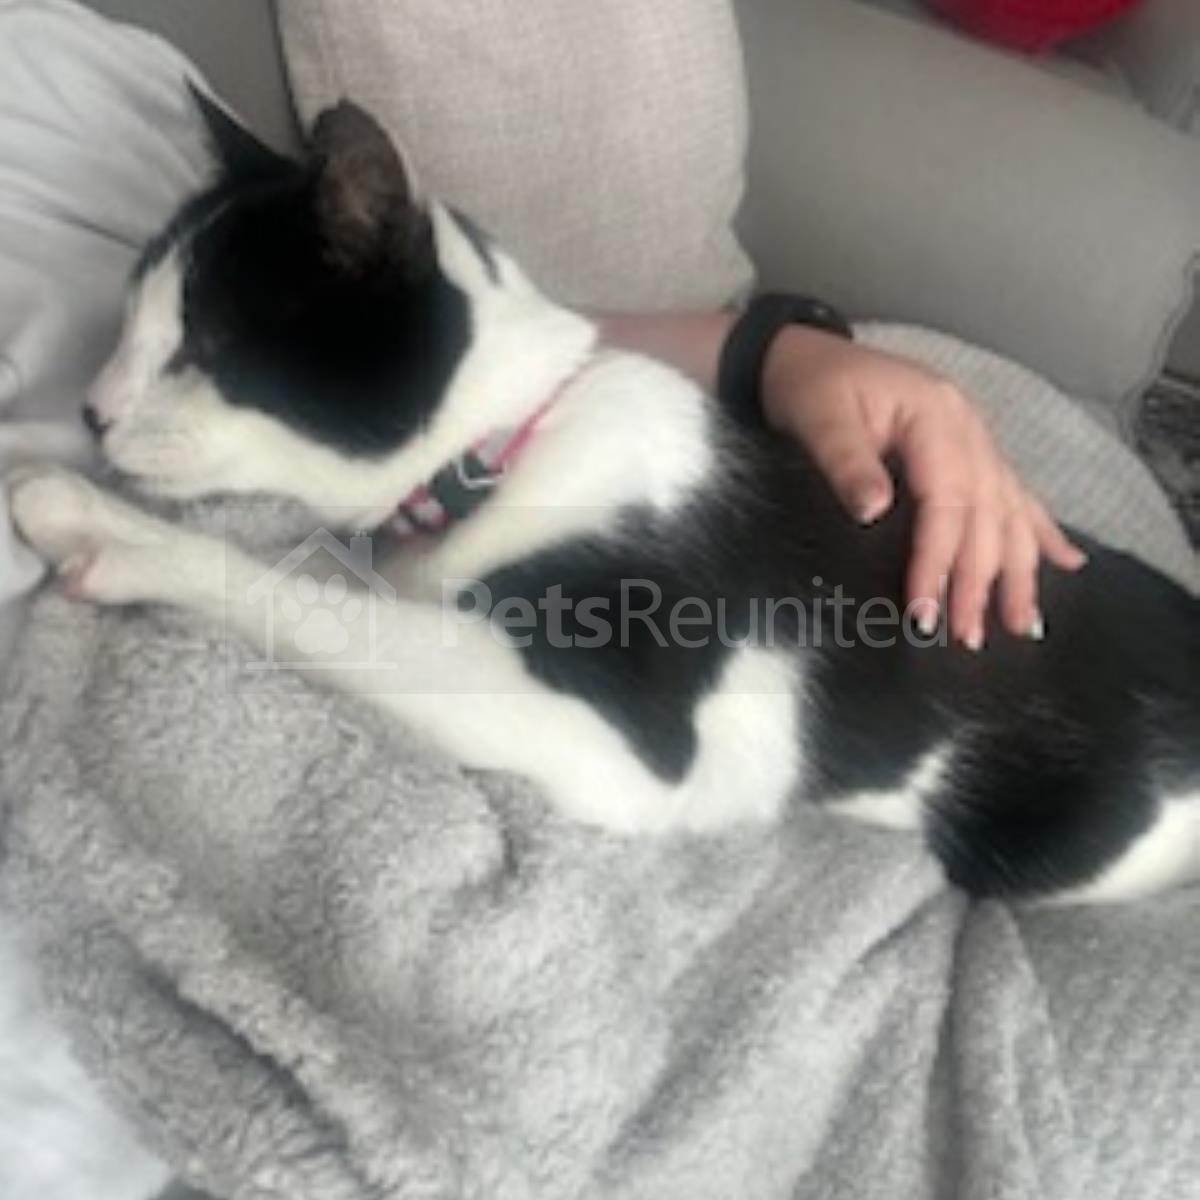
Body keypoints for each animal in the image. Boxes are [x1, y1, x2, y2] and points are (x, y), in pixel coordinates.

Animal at [8, 94, 1199, 907]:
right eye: (132, 321)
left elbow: (319, 610)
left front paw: (97, 525)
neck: (510, 447)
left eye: (207, 347)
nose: (93, 411)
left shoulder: (628, 741)